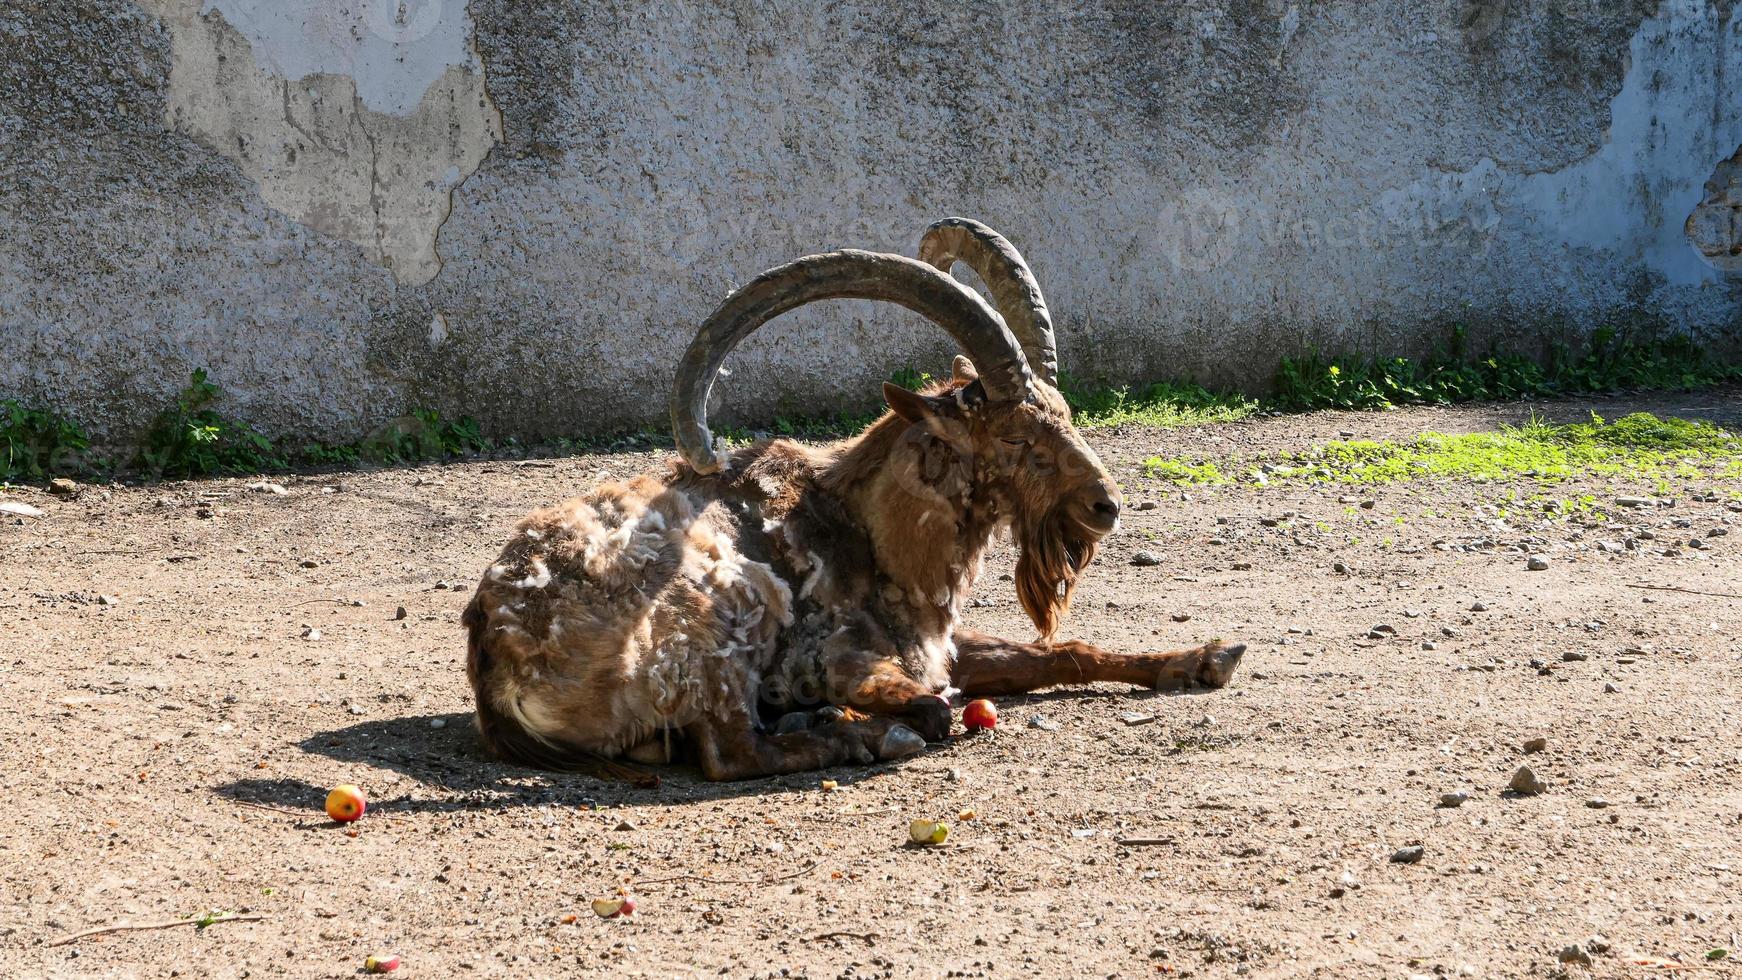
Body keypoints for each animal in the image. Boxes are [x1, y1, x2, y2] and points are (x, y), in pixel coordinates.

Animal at [463, 218, 1247, 779]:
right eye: (1016, 436)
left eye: (1066, 416)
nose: (1104, 507)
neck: (871, 532)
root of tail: (494, 645)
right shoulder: (831, 656)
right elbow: (930, 700)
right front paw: (870, 720)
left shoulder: (941, 643)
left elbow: (1063, 653)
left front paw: (1204, 657)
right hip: (718, 619)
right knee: (730, 752)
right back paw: (862, 735)